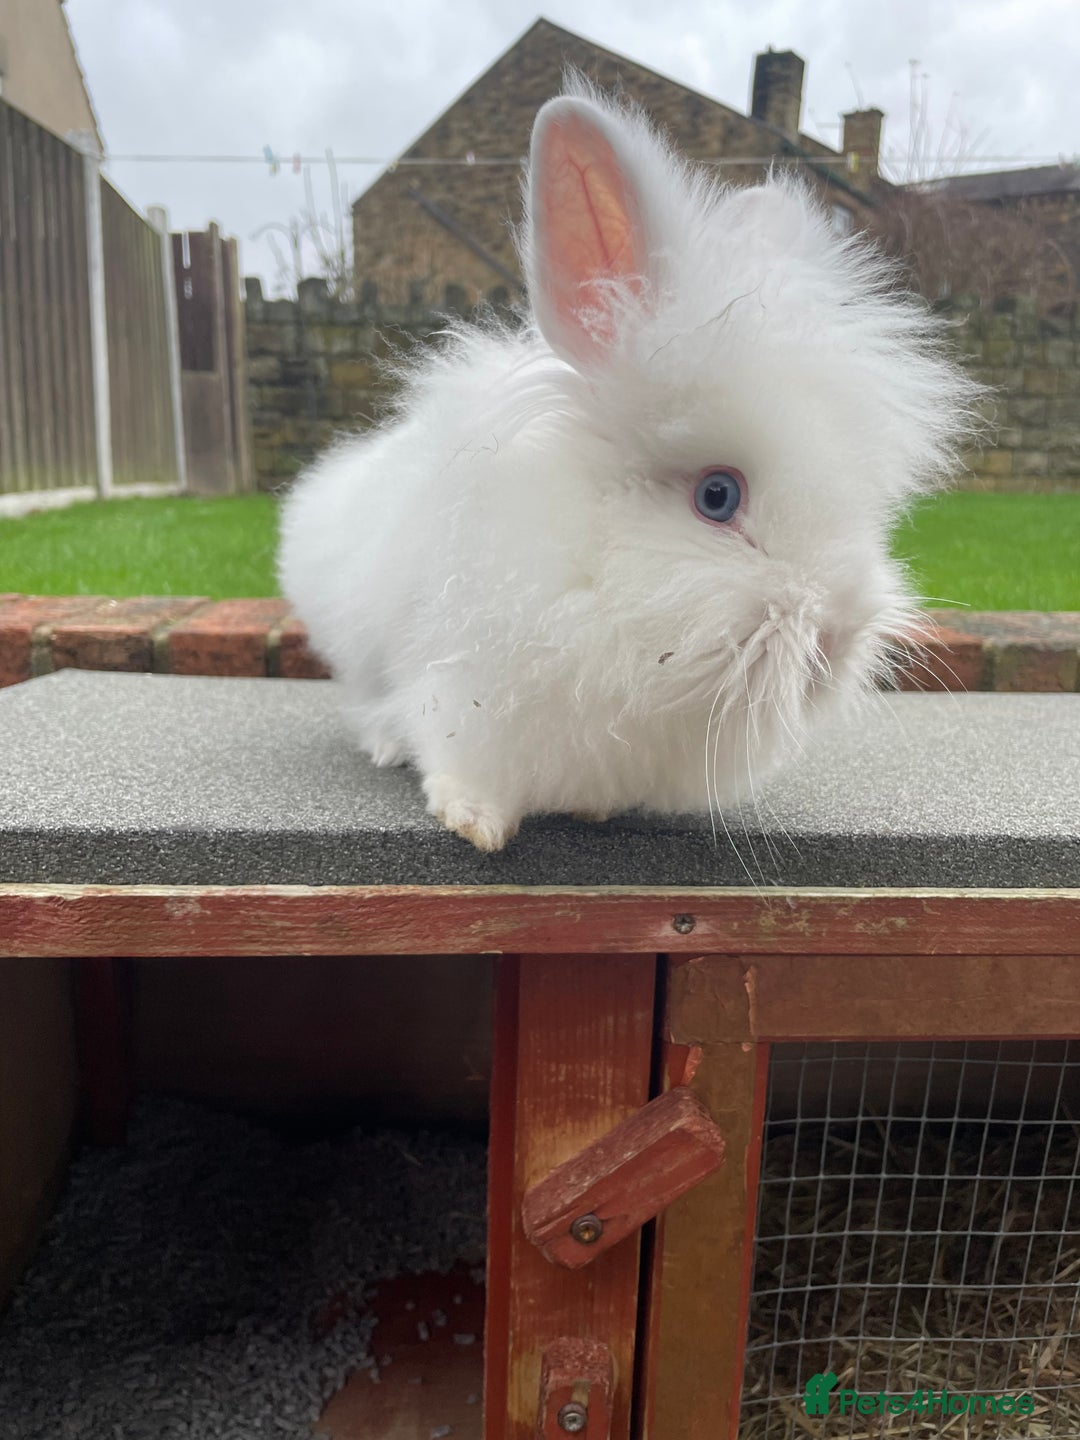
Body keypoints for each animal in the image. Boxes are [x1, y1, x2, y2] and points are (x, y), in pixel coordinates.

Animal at [278, 78, 977, 852]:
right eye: (717, 496)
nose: (839, 634)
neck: (596, 581)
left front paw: (594, 812)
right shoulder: (460, 690)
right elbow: (460, 763)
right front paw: (476, 822)